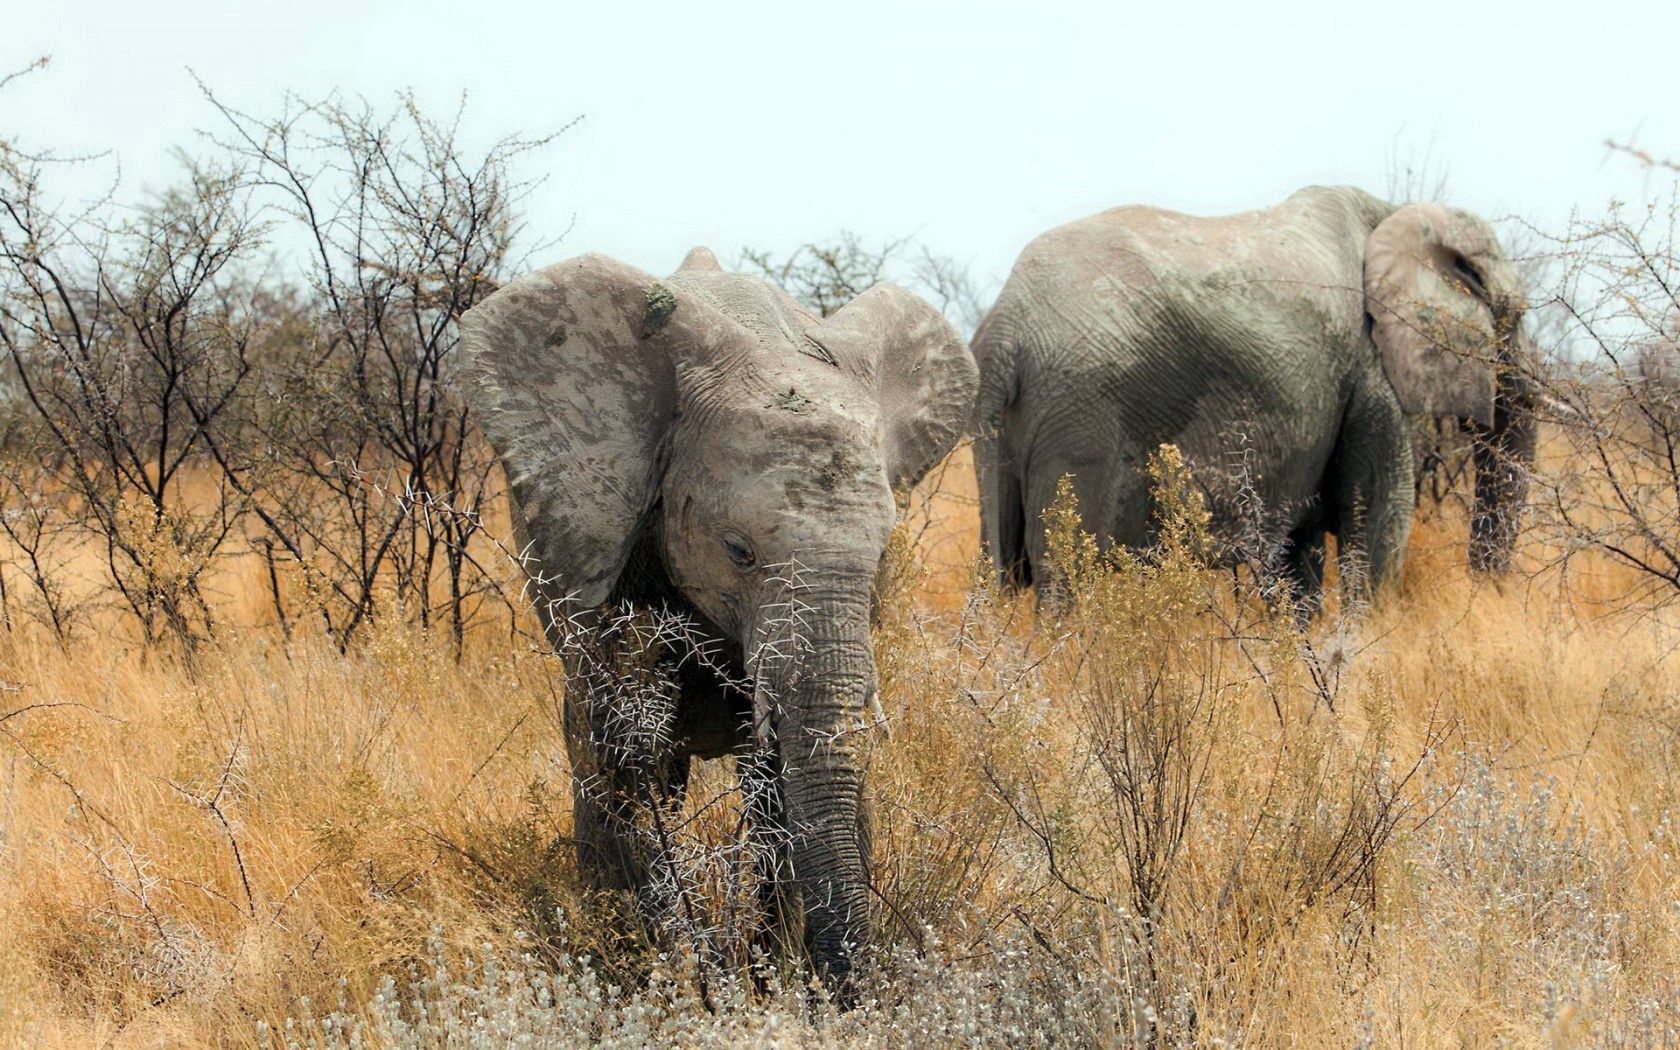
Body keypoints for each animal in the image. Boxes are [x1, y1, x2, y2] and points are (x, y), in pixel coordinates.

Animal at [467, 246, 981, 987]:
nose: (853, 992)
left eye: (883, 554)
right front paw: (674, 974)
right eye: (738, 550)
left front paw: (774, 975)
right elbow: (628, 760)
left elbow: (791, 776)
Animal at [974, 183, 1538, 601]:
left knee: (999, 567)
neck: (1394, 214)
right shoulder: (1368, 370)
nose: (1487, 593)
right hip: (1082, 416)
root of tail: (1006, 326)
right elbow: (1381, 524)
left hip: (1008, 428)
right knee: (1066, 579)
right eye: (1511, 317)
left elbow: (1297, 558)